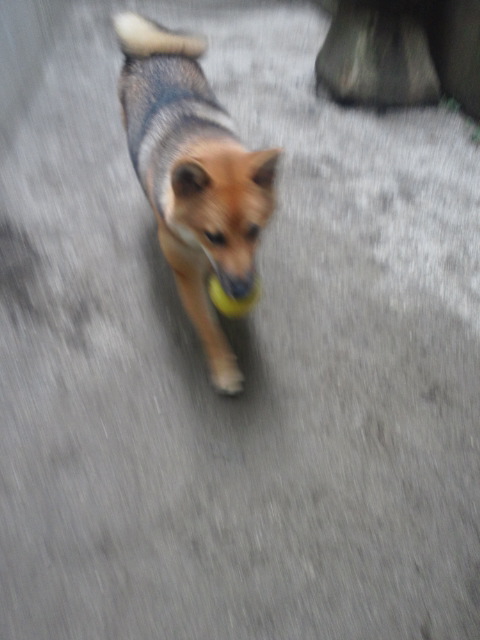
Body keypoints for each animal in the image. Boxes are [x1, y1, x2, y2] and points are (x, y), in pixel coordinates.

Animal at [113, 12, 281, 394]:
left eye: (254, 231)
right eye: (213, 236)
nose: (241, 291)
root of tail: (152, 53)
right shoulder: (186, 276)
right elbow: (207, 327)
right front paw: (224, 367)